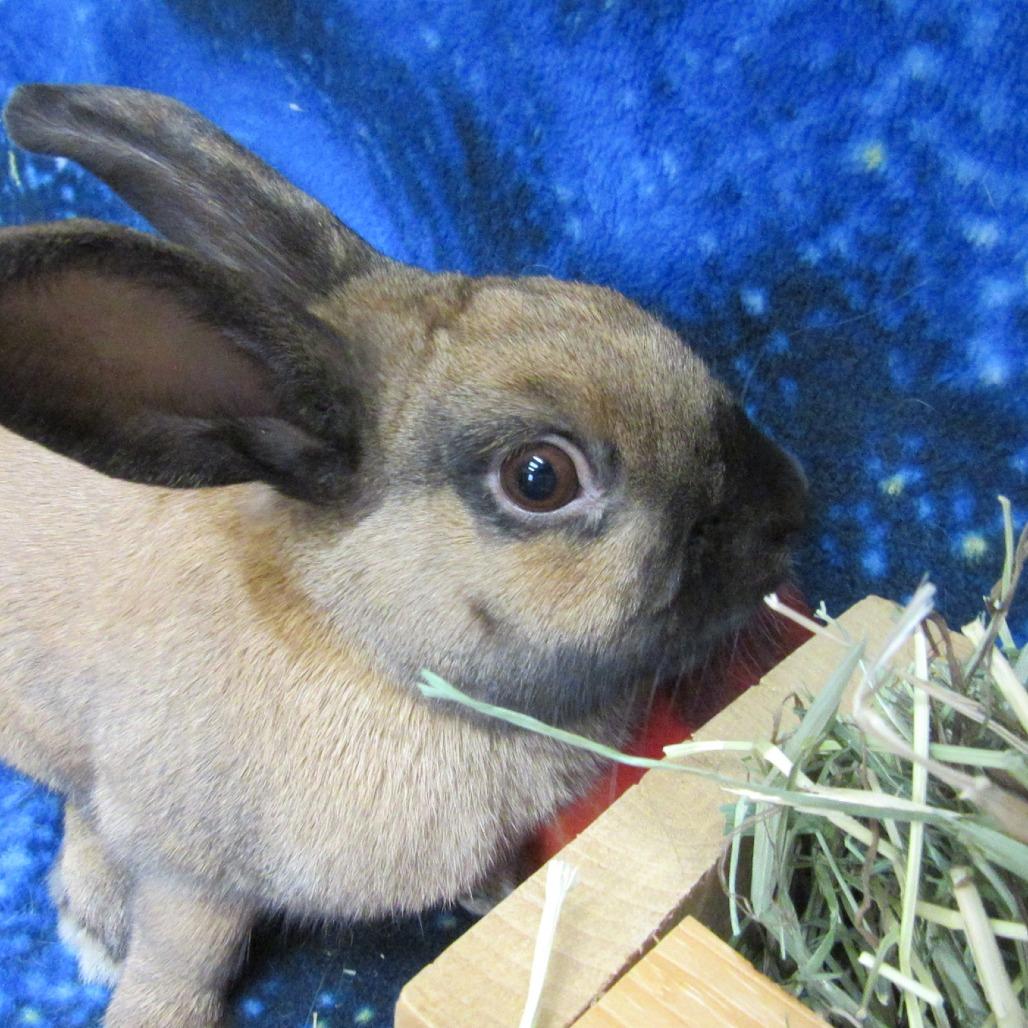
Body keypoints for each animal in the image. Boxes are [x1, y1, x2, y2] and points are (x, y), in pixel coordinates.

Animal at [0, 84, 808, 1026]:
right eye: (539, 477)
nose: (792, 508)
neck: (364, 648)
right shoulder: (189, 872)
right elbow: (184, 953)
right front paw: (151, 1009)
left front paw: (492, 889)